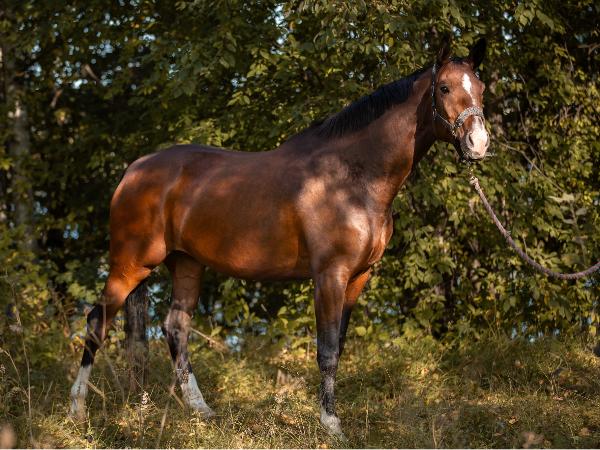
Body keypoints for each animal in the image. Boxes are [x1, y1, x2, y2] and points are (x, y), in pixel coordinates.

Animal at [70, 39, 489, 437]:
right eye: (444, 87)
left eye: (481, 87)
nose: (479, 143)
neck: (352, 177)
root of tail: (134, 170)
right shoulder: (330, 276)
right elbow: (327, 351)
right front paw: (330, 424)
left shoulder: (358, 277)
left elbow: (339, 346)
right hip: (131, 264)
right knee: (97, 322)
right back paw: (77, 409)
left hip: (186, 263)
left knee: (175, 327)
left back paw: (202, 411)